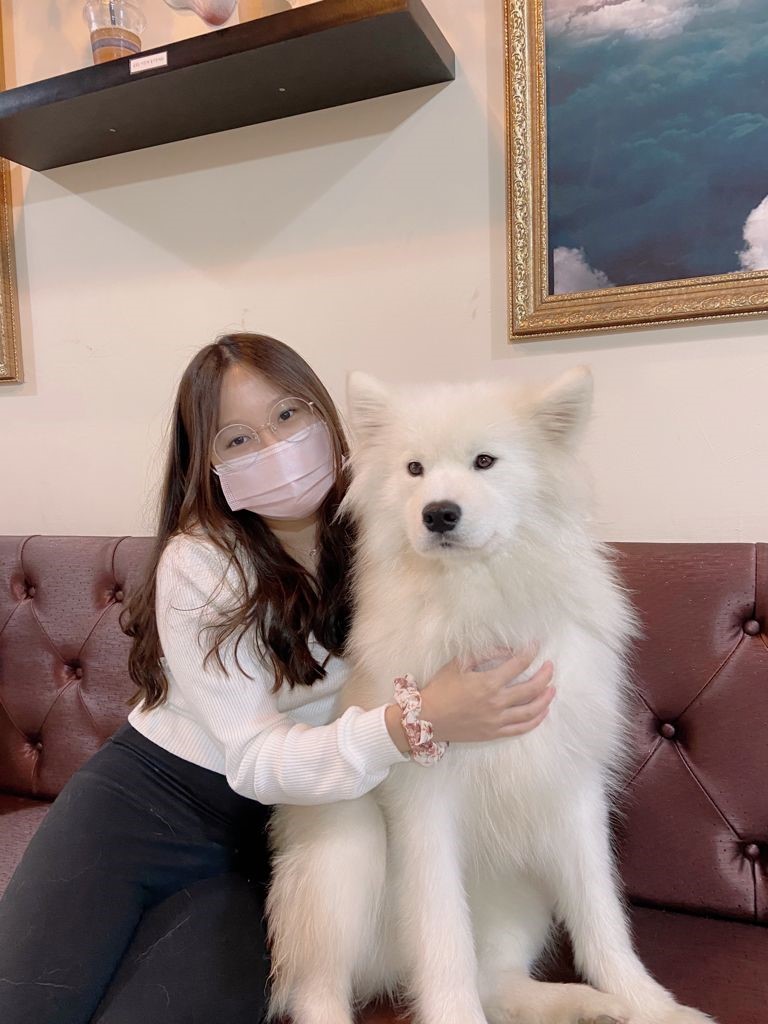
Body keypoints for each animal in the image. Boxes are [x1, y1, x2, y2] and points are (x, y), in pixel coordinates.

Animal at [266, 368, 716, 1024]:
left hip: (516, 894)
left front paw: (648, 1004)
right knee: (318, 987)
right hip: (346, 852)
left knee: (498, 981)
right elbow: (442, 939)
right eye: (414, 469)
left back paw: (585, 1004)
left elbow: (602, 918)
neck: (479, 610)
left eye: (485, 461)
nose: (439, 514)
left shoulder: (573, 790)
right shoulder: (424, 809)